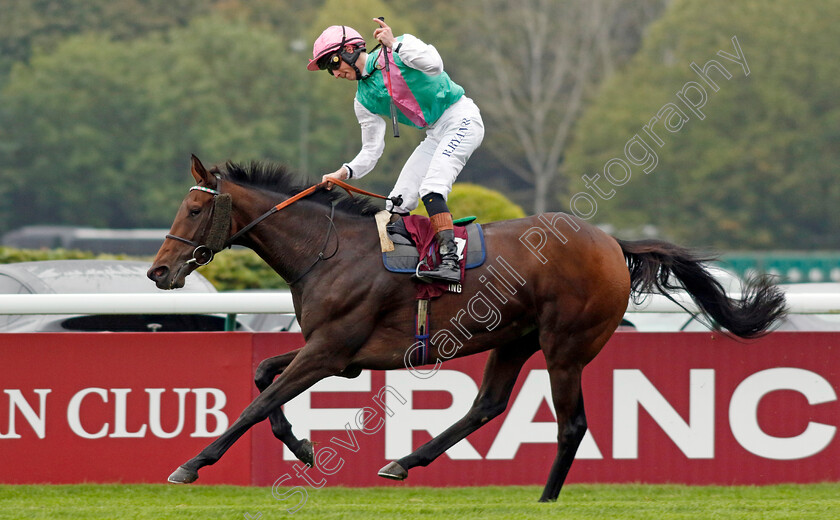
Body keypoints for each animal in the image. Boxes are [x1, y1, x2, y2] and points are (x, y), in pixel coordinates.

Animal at [146, 156, 788, 502]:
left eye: (195, 210)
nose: (158, 271)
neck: (329, 250)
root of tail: (612, 243)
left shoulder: (331, 351)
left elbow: (258, 402)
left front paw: (191, 464)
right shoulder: (336, 354)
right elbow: (261, 375)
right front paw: (301, 445)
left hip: (565, 347)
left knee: (571, 424)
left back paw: (546, 497)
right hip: (513, 340)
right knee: (487, 406)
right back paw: (404, 462)